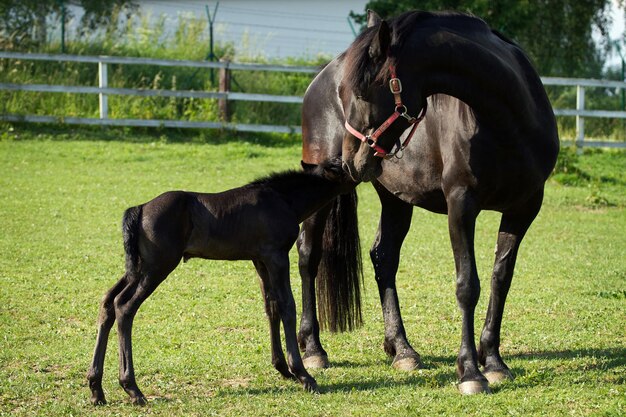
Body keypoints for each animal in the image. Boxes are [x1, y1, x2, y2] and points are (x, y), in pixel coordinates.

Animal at [86, 157, 356, 404]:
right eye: (342, 168)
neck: (282, 199)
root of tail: (140, 208)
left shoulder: (260, 261)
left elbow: (271, 306)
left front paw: (282, 368)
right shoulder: (277, 256)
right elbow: (287, 306)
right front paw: (303, 375)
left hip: (138, 268)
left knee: (108, 302)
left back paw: (96, 388)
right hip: (156, 267)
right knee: (124, 306)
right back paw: (132, 388)